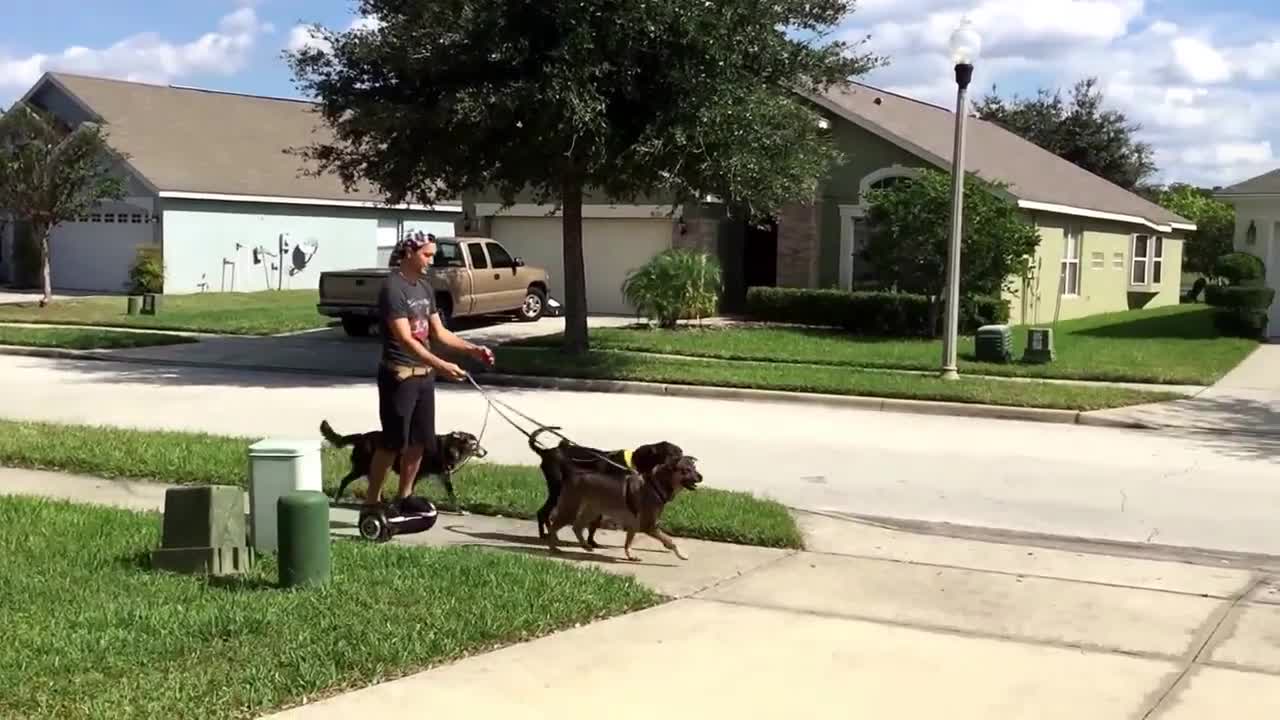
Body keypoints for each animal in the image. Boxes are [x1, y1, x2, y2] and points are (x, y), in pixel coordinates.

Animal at [545, 453, 706, 561]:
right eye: (686, 470)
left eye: (694, 467)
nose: (701, 476)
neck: (655, 485)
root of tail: (571, 474)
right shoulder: (648, 526)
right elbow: (670, 540)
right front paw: (681, 554)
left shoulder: (634, 525)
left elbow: (628, 542)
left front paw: (630, 555)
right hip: (571, 509)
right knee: (554, 527)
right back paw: (554, 548)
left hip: (591, 511)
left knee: (576, 527)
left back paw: (585, 546)